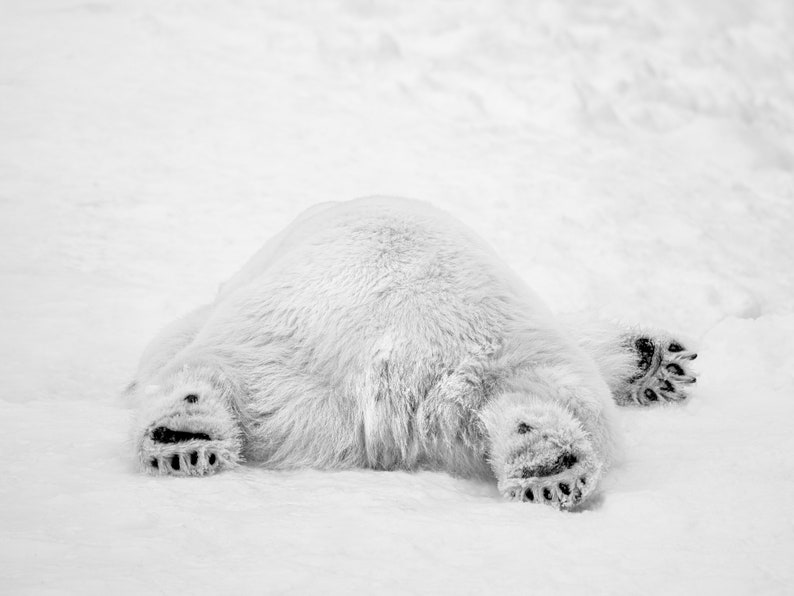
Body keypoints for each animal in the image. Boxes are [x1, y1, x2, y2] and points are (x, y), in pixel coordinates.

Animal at [126, 197, 697, 510]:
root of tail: (395, 356)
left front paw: (656, 359)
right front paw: (655, 358)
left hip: (278, 352)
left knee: (208, 367)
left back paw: (182, 434)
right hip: (500, 344)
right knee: (555, 390)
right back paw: (550, 462)